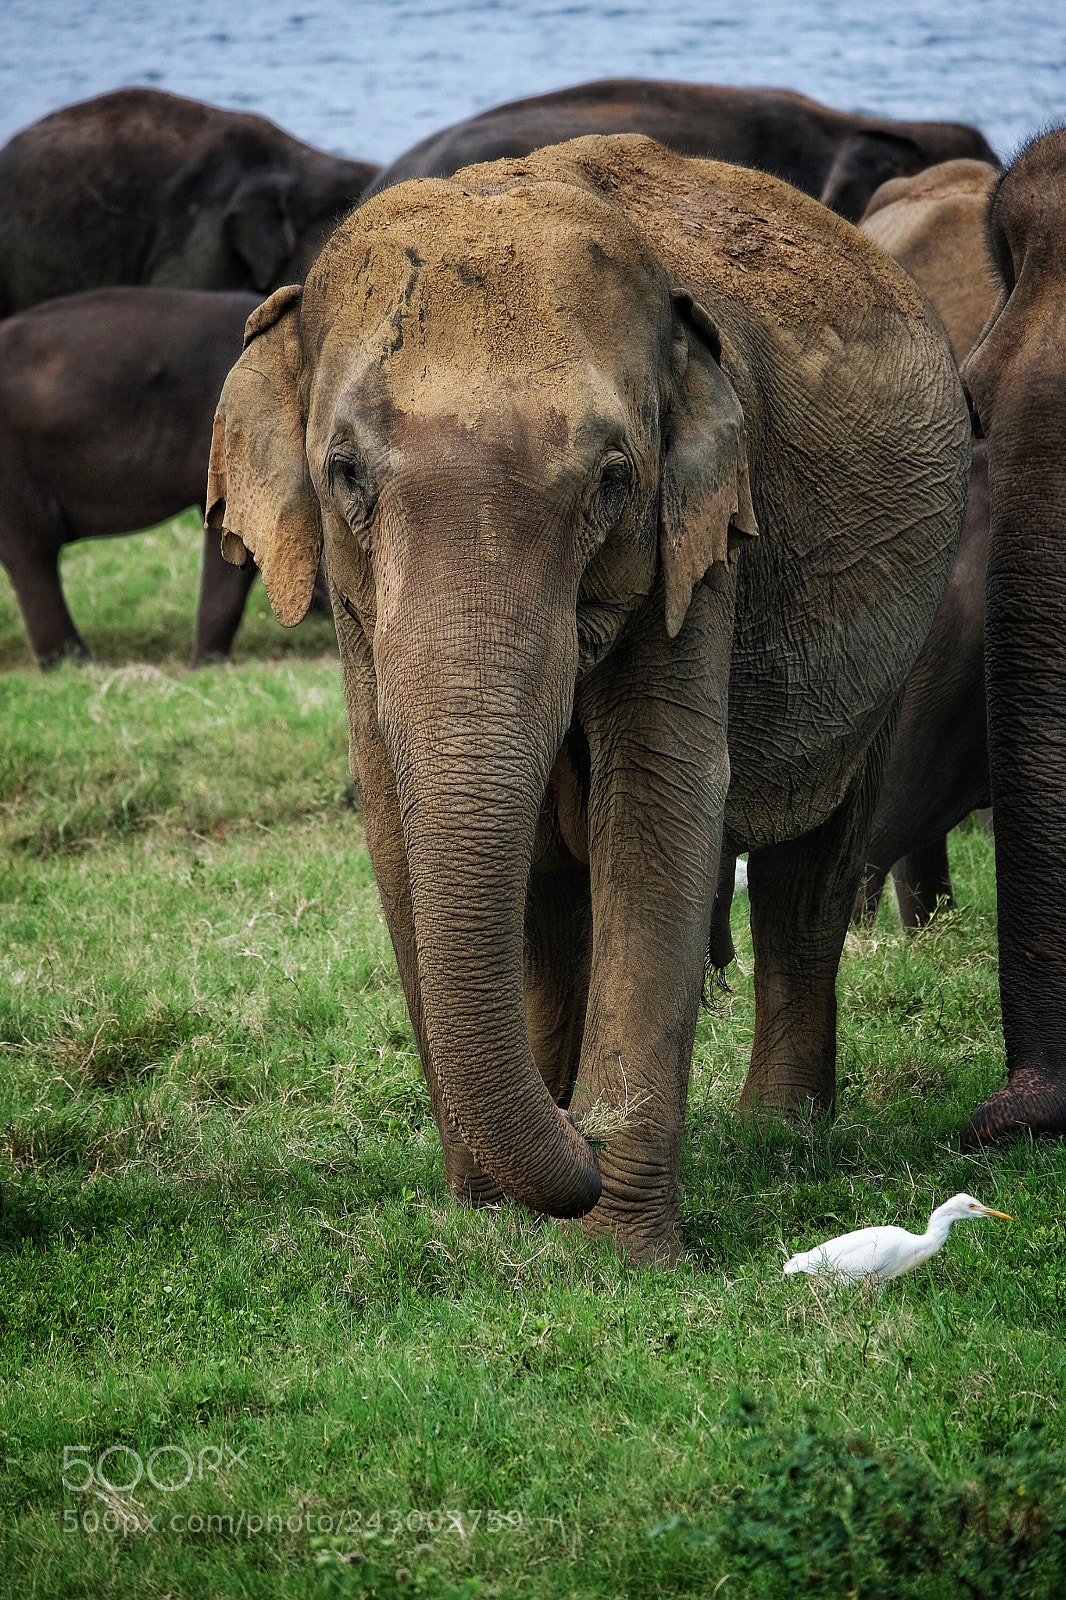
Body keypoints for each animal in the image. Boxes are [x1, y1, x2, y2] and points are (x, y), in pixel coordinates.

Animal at [207, 134, 970, 1261]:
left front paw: (616, 1251)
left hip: (893, 647)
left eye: (612, 481)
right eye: (343, 473)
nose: (584, 1141)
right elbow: (394, 816)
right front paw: (490, 1216)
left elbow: (657, 801)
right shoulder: (353, 600)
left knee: (814, 862)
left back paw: (778, 1134)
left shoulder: (701, 541)